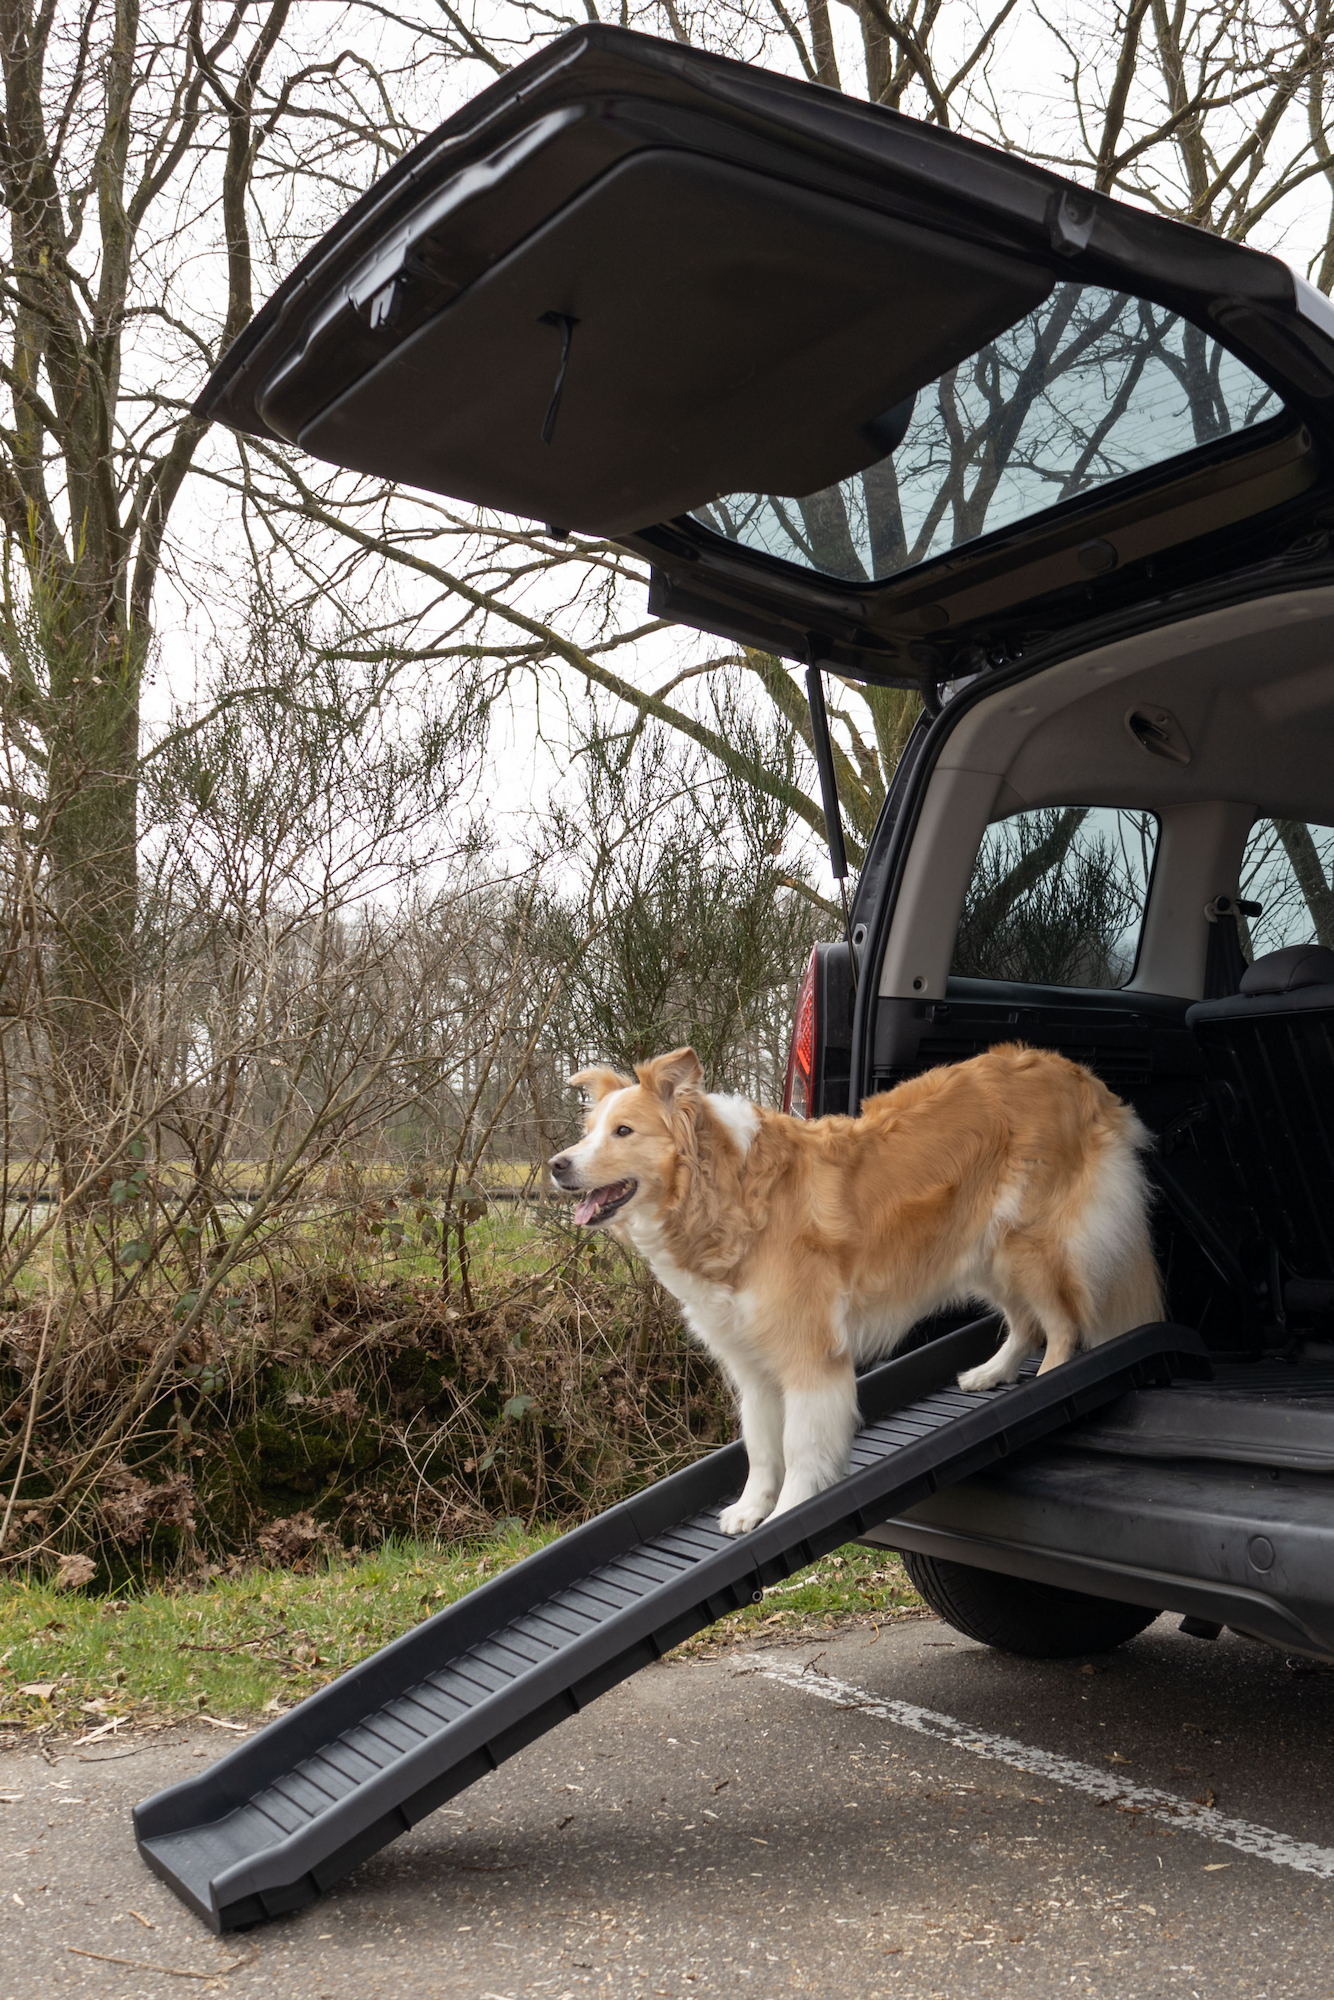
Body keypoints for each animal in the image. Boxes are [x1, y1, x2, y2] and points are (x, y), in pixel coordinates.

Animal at [548, 1048, 1160, 1528]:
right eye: (588, 1132)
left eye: (623, 1131)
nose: (556, 1164)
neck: (727, 1191)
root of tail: (1074, 1072)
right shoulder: (751, 1365)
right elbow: (761, 1445)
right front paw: (750, 1510)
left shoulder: (808, 1355)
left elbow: (798, 1445)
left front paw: (790, 1509)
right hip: (982, 1254)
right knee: (1026, 1321)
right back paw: (993, 1372)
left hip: (1026, 1245)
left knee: (1062, 1325)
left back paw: (1050, 1383)